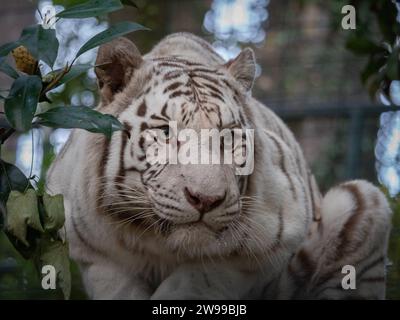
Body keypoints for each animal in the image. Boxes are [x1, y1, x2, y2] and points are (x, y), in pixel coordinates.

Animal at [46, 33, 390, 300]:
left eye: (228, 137)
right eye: (165, 132)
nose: (206, 200)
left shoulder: (272, 241)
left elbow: (200, 278)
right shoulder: (95, 254)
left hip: (363, 200)